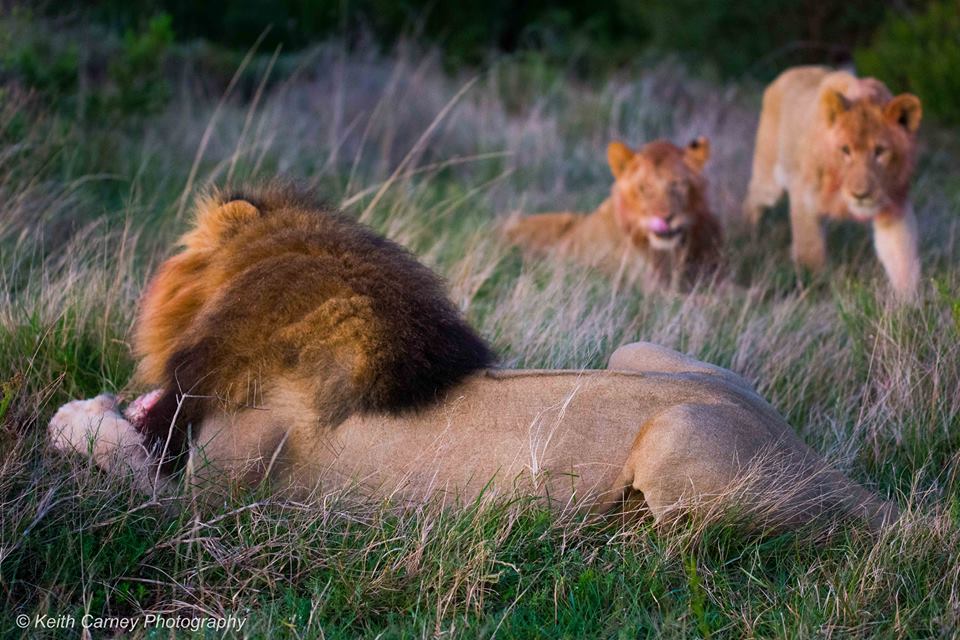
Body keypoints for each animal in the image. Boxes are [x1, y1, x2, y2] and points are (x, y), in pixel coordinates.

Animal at [50, 186, 892, 536]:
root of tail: (829, 470)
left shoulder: (219, 503)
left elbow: (119, 457)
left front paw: (76, 418)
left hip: (678, 441)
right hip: (642, 351)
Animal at [744, 66, 924, 302]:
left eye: (880, 151)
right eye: (845, 150)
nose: (861, 194)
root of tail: (790, 72)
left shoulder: (894, 208)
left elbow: (903, 259)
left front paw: (909, 304)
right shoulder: (804, 197)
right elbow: (811, 252)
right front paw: (814, 290)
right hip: (769, 182)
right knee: (752, 200)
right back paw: (750, 236)